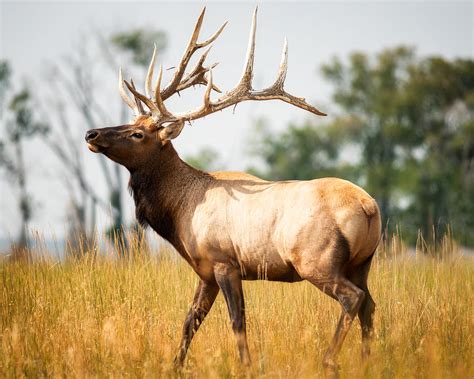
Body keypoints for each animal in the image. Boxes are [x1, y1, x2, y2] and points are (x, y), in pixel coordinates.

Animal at [85, 7, 382, 376]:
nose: (92, 134)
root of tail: (369, 208)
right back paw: (368, 362)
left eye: (139, 134)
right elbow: (190, 321)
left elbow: (237, 321)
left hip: (317, 261)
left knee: (353, 298)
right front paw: (174, 366)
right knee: (370, 304)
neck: (179, 213)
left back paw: (329, 359)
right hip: (363, 262)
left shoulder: (223, 261)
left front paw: (246, 366)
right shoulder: (205, 270)